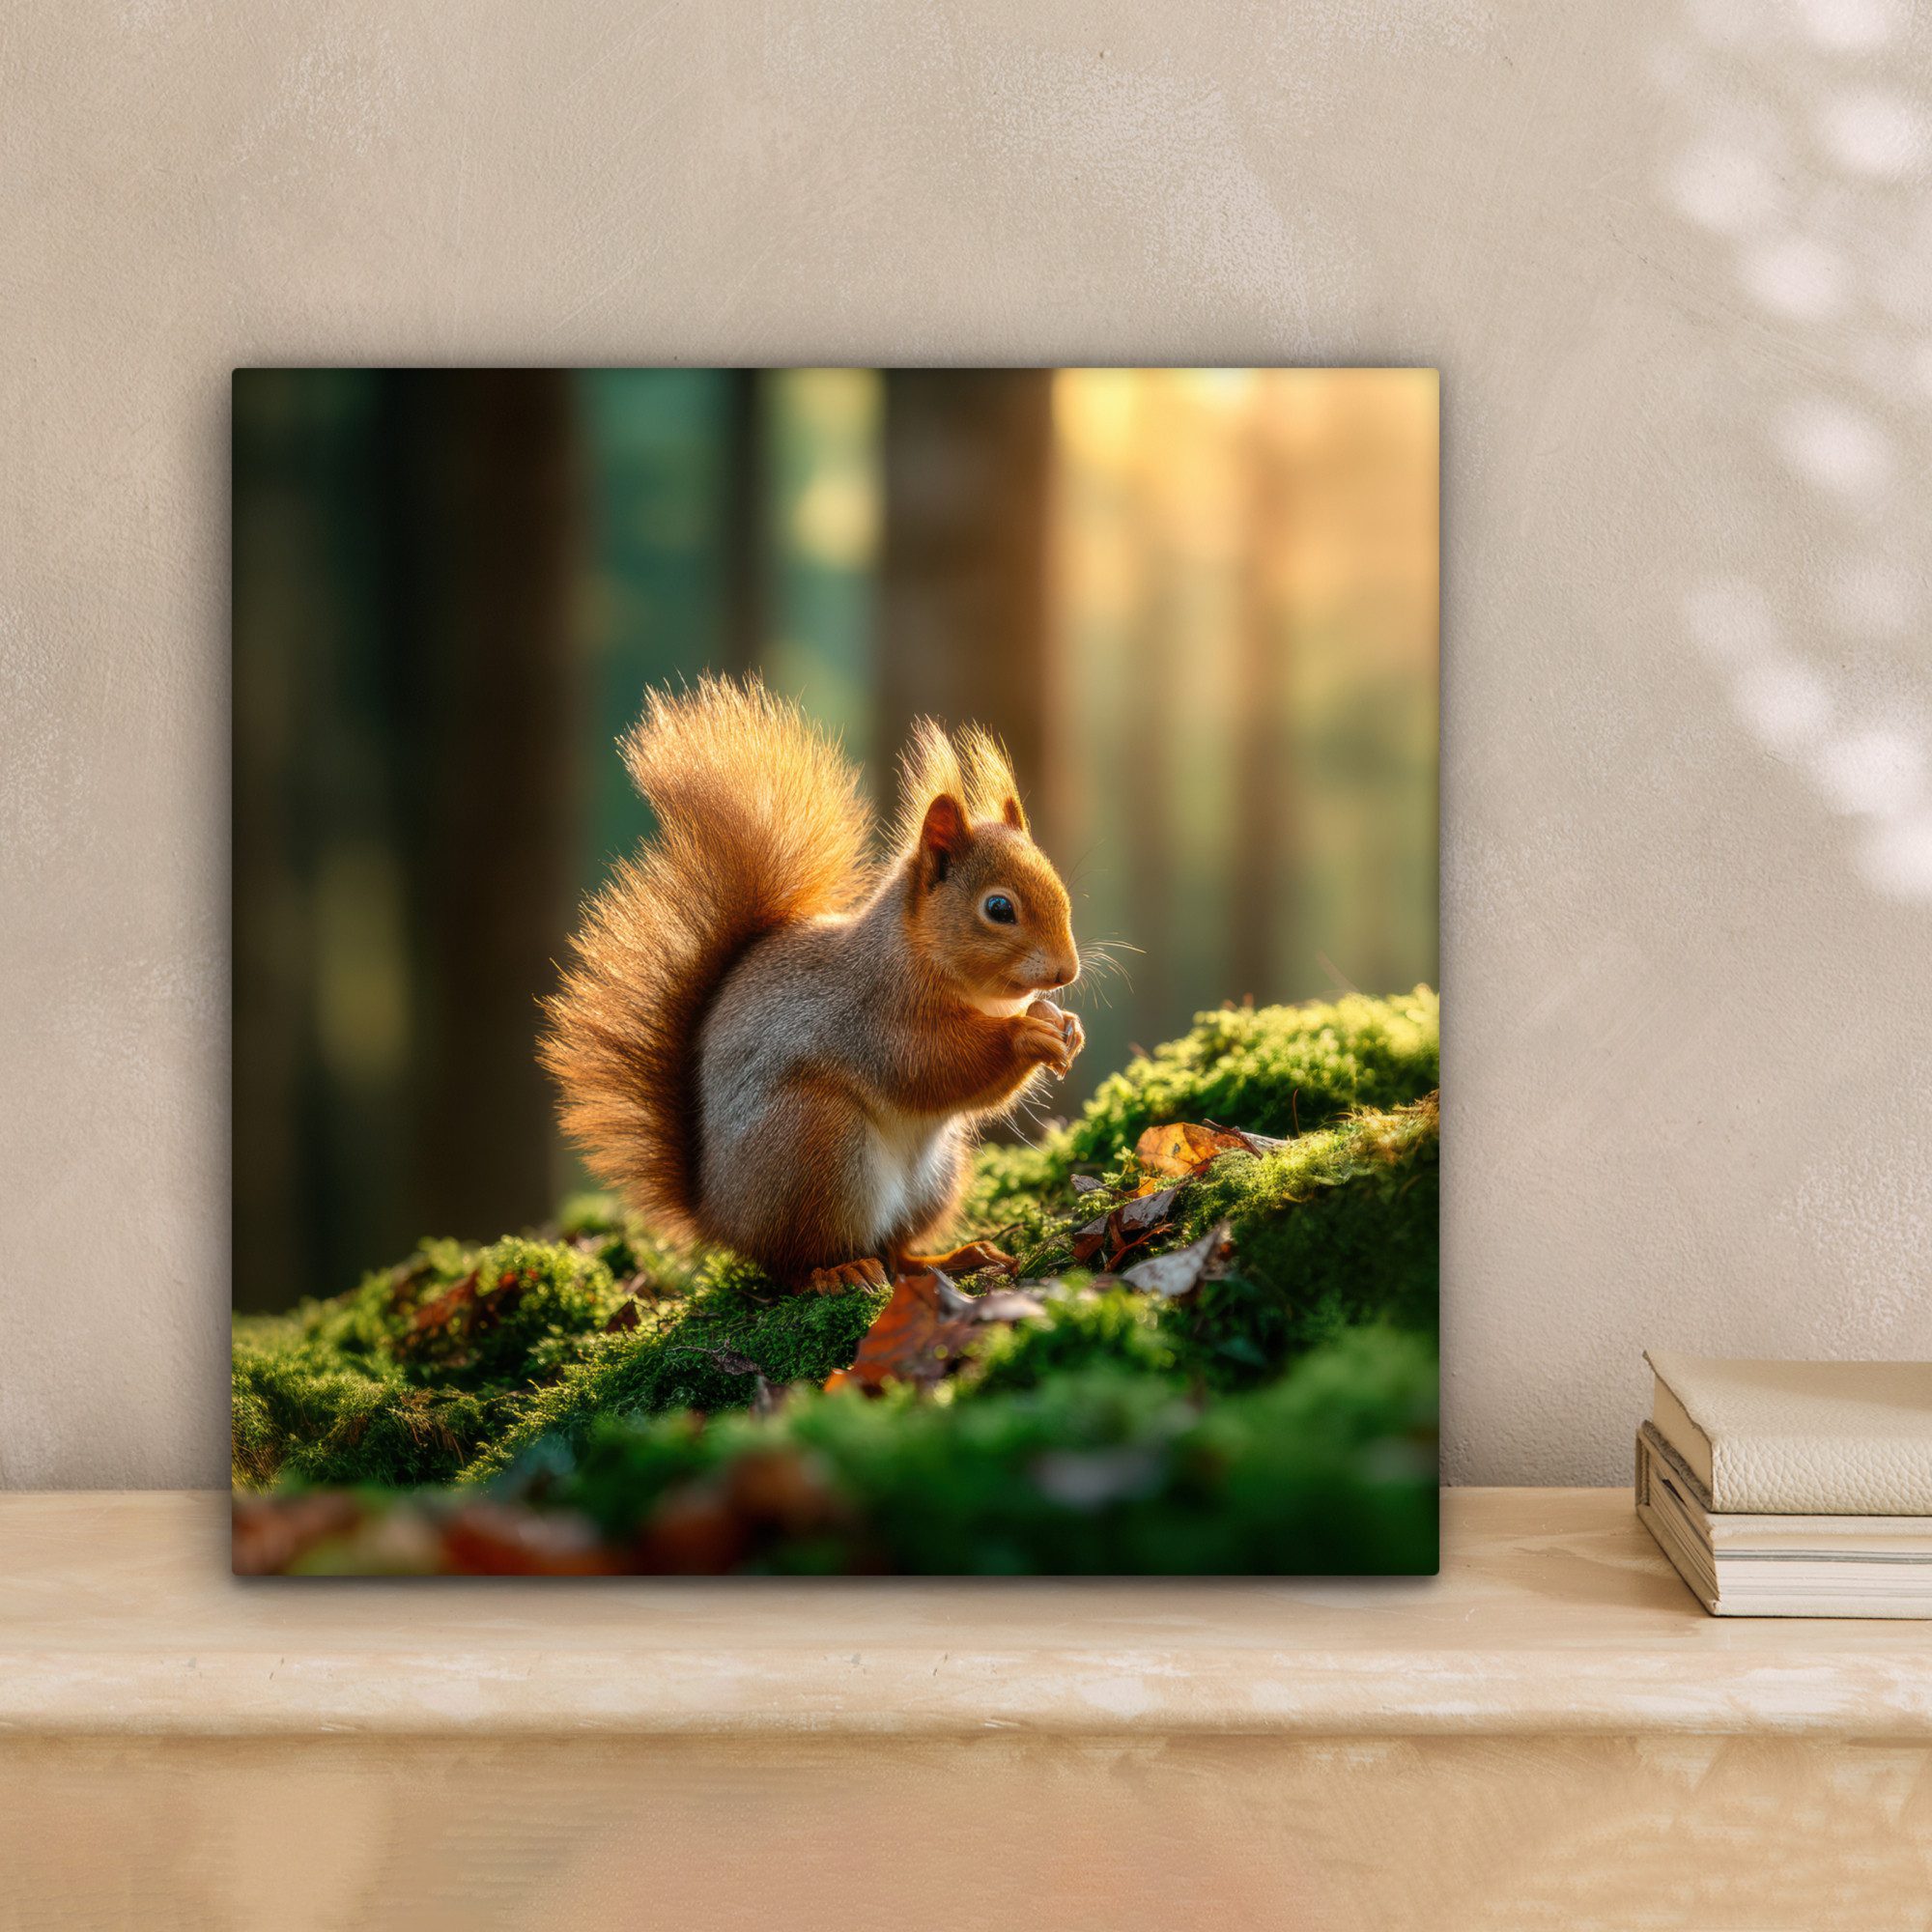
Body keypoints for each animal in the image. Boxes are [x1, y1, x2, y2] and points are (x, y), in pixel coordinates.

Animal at [541, 676, 1084, 1291]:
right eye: (998, 908)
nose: (1067, 972)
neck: (921, 956)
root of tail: (719, 1217)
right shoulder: (874, 1015)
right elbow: (932, 1064)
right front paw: (1027, 1034)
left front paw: (1063, 1024)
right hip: (817, 1147)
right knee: (797, 1263)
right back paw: (840, 1272)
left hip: (934, 1176)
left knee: (897, 1250)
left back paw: (950, 1258)